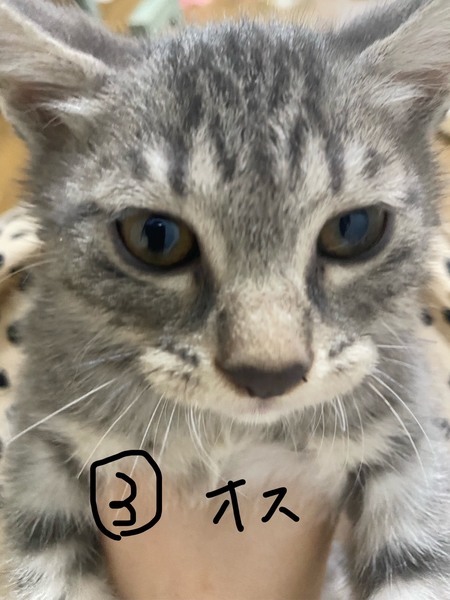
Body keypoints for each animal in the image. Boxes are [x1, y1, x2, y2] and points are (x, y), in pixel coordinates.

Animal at [0, 0, 449, 598]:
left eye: (353, 229)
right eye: (156, 237)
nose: (269, 373)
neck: (232, 436)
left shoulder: (408, 438)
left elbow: (419, 558)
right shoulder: (39, 438)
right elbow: (41, 566)